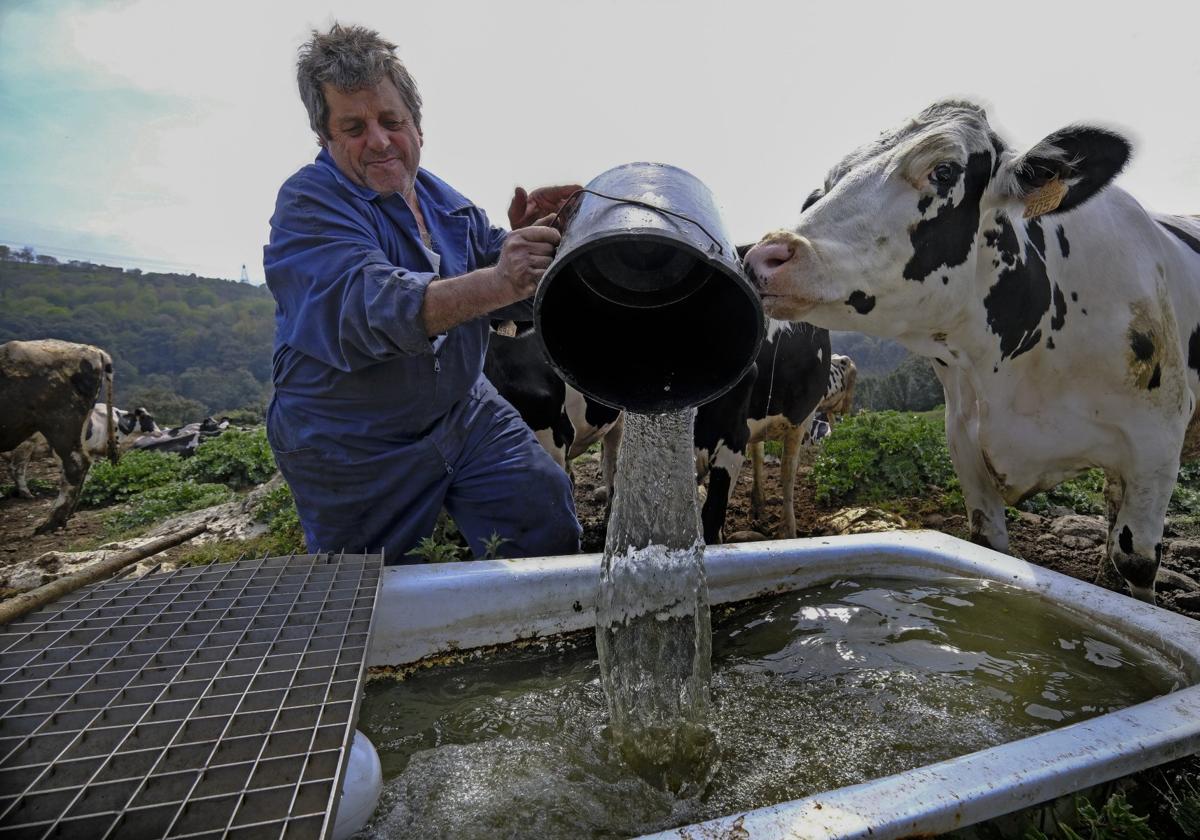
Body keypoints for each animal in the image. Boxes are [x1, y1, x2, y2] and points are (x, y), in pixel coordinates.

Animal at [691, 319, 830, 542]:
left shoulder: (733, 443)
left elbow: (711, 518)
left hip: (802, 418)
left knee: (788, 469)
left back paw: (787, 530)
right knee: (758, 453)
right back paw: (757, 507)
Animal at [744, 100, 1200, 604]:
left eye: (944, 170)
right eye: (826, 186)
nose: (764, 255)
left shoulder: (1157, 440)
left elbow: (1137, 560)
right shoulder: (963, 439)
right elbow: (990, 543)